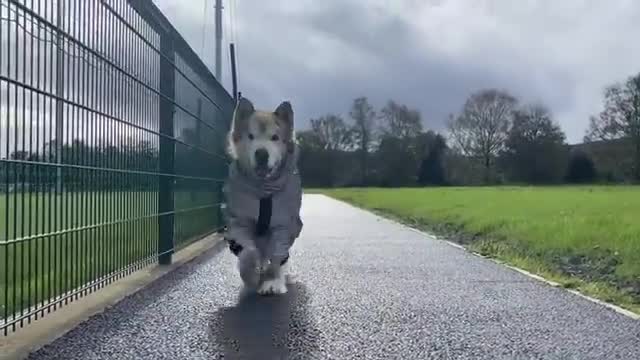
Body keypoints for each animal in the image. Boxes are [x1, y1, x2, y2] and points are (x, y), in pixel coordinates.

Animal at [224, 96, 304, 296]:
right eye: (251, 136)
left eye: (274, 137)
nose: (261, 153)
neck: (263, 191)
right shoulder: (240, 223)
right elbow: (248, 252)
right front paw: (250, 276)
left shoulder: (282, 225)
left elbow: (278, 256)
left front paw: (274, 282)